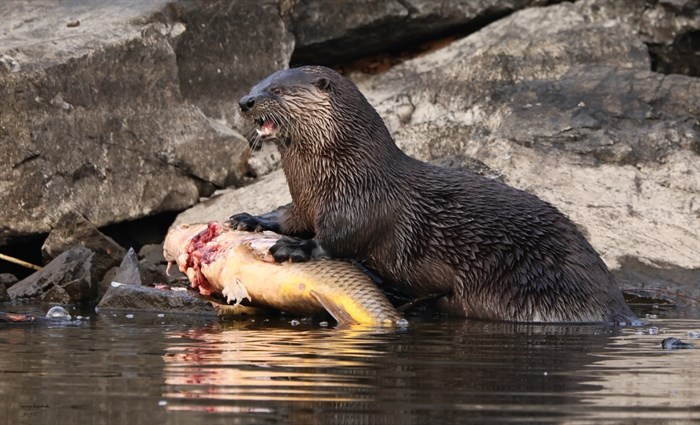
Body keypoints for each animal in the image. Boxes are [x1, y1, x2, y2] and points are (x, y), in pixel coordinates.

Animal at [231, 64, 640, 322]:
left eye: (277, 90)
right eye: (255, 84)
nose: (245, 102)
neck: (338, 172)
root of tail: (619, 309)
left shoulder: (361, 202)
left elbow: (340, 238)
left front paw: (295, 247)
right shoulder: (306, 203)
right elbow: (288, 215)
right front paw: (249, 217)